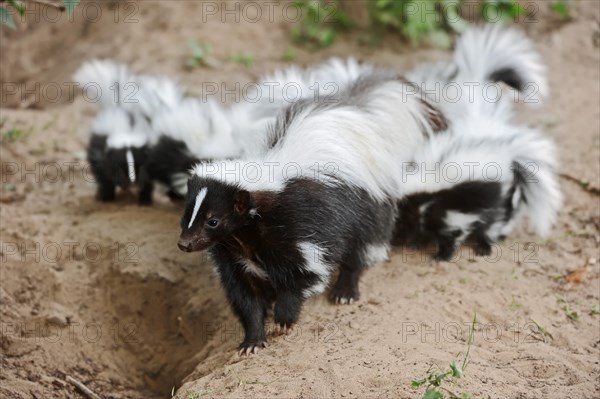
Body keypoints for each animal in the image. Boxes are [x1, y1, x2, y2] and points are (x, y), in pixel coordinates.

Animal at [178, 175, 394, 354]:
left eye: (213, 221)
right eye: (185, 217)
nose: (184, 244)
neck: (243, 236)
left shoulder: (299, 228)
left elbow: (305, 274)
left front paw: (283, 320)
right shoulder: (232, 257)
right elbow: (246, 294)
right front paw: (252, 341)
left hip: (361, 211)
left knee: (360, 247)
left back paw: (345, 291)